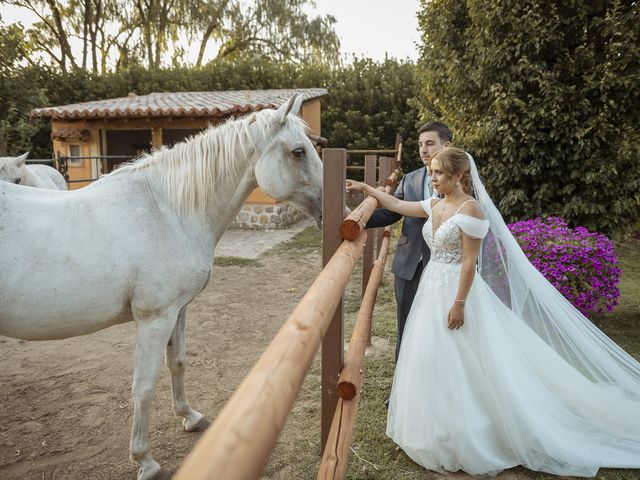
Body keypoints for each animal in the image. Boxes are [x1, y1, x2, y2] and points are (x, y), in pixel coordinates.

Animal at [0, 94, 322, 480]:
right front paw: (146, 461)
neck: (168, 211)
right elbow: (144, 387)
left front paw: (190, 417)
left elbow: (177, 363)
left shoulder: (178, 311)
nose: (334, 204)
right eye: (298, 152)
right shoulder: (154, 319)